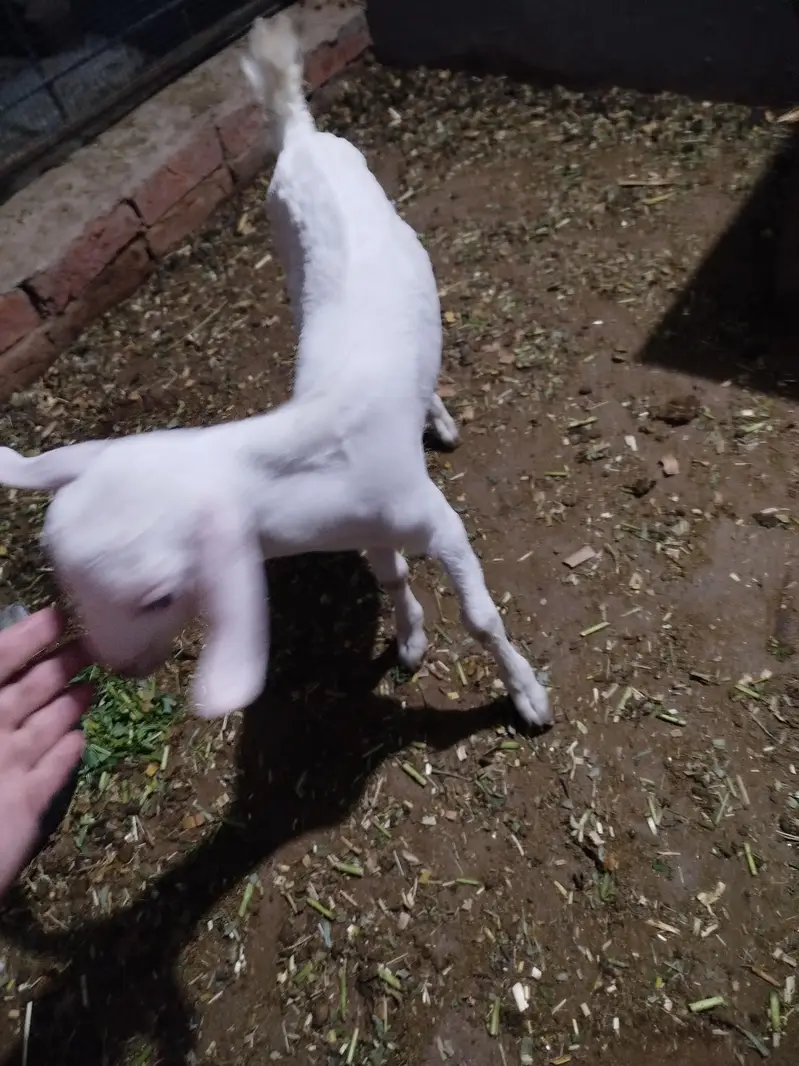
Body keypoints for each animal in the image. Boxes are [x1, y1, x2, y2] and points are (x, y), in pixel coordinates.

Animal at [0, 13, 551, 729]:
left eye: (158, 596)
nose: (119, 668)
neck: (313, 469)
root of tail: (301, 132)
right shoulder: (367, 525)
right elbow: (392, 575)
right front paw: (409, 639)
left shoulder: (430, 515)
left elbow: (481, 616)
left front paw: (527, 696)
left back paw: (439, 418)